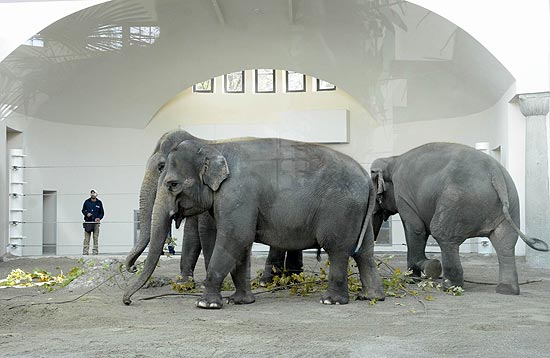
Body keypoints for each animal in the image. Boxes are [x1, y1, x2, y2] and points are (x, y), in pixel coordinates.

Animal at [125, 130, 304, 284]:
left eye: (161, 167)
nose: (133, 268)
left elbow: (206, 230)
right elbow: (191, 232)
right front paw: (184, 283)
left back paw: (267, 281)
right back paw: (293, 279)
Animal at [374, 141, 548, 296]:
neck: (393, 160)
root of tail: (495, 172)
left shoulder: (403, 196)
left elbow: (416, 229)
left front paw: (414, 277)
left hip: (458, 200)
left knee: (442, 234)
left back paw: (451, 287)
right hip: (510, 204)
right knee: (505, 242)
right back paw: (506, 290)